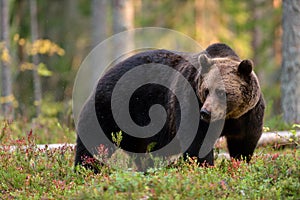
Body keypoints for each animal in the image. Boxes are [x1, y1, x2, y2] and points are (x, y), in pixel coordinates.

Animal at [74, 43, 264, 171]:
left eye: (222, 92)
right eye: (206, 90)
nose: (206, 112)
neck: (228, 117)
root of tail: (104, 75)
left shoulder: (248, 116)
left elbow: (244, 143)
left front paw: (240, 165)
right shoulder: (190, 102)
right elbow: (197, 143)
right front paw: (205, 168)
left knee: (143, 154)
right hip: (111, 108)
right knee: (92, 142)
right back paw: (85, 170)